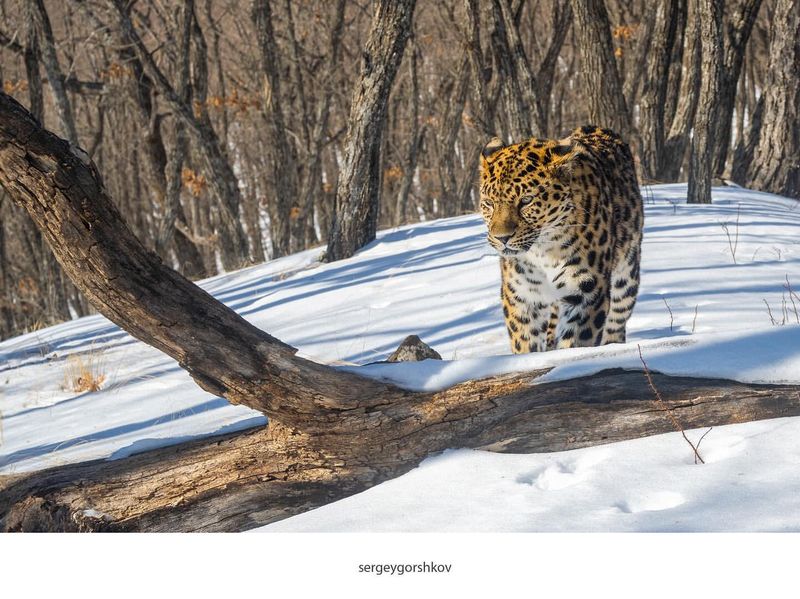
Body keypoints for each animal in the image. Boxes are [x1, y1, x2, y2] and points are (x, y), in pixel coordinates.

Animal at [482, 125, 644, 354]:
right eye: (489, 203)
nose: (501, 238)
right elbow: (524, 341)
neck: (543, 251)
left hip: (627, 275)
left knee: (618, 319)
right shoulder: (521, 294)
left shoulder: (588, 290)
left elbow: (577, 341)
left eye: (526, 200)